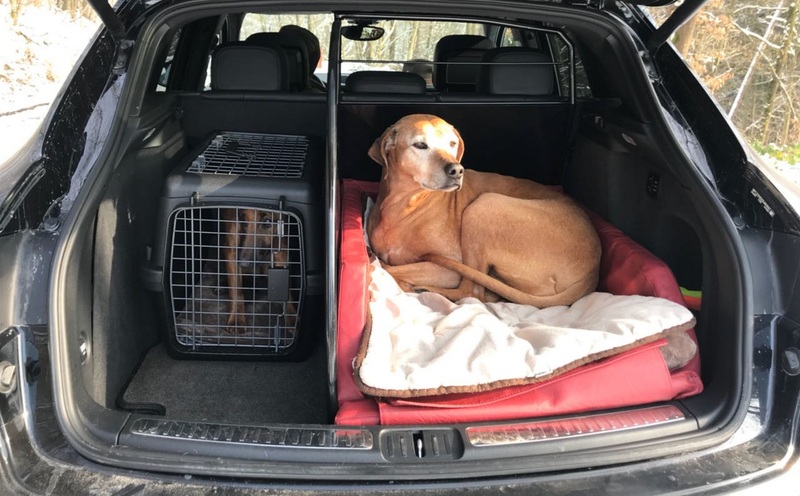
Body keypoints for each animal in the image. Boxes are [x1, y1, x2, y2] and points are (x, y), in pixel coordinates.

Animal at [366, 114, 602, 307]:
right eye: (420, 145)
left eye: (452, 144)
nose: (457, 170)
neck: (405, 204)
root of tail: (593, 270)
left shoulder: (448, 269)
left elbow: (388, 268)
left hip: (483, 207)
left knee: (472, 291)